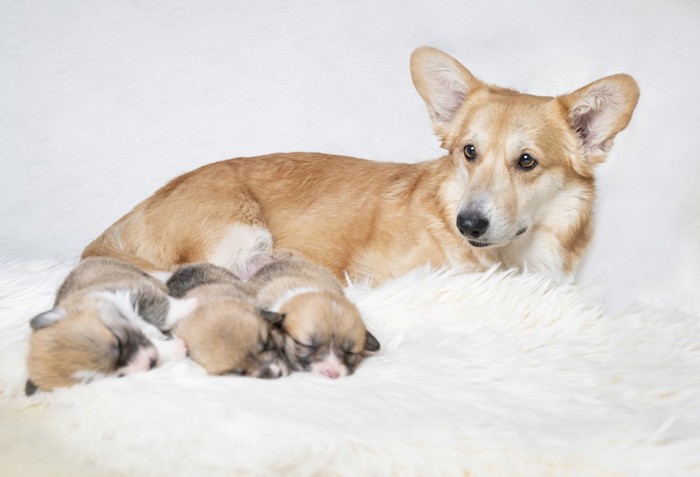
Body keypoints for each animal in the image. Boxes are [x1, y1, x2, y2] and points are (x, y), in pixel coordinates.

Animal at [26, 258, 196, 392]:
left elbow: (166, 313)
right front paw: (176, 348)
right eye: (117, 376)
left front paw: (192, 304)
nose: (149, 364)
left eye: (118, 343)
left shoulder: (132, 293)